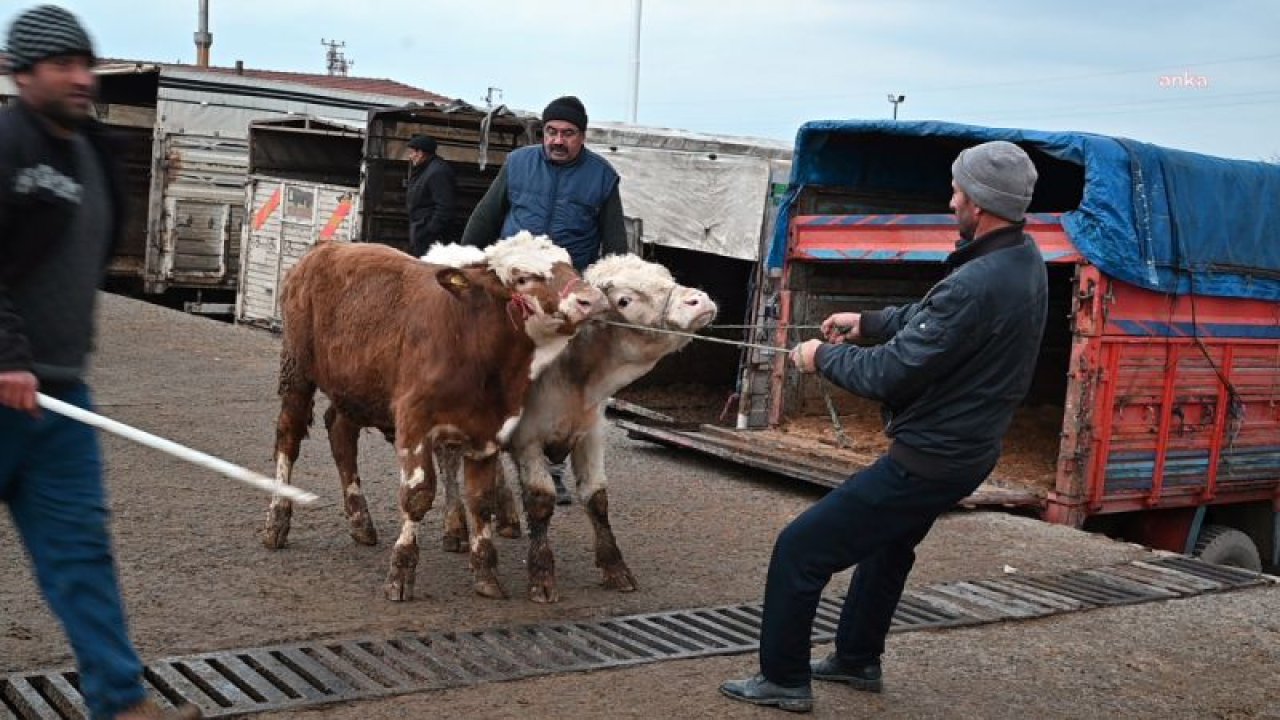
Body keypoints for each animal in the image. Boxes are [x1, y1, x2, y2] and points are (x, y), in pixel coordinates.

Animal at [262, 233, 606, 597]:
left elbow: (481, 500)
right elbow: (418, 495)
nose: (592, 299)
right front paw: (401, 571)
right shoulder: (414, 421)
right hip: (297, 369)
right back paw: (277, 520)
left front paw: (486, 573)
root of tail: (326, 247)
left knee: (341, 433)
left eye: (569, 263)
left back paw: (360, 521)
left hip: (355, 386)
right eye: (523, 277)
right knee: (288, 438)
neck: (475, 344)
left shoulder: (488, 430)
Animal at [440, 252, 721, 599]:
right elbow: (541, 499)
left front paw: (615, 568)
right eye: (624, 300)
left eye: (666, 277)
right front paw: (542, 574)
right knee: (448, 465)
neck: (573, 378)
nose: (699, 300)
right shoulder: (528, 439)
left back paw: (506, 518)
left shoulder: (592, 434)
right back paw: (455, 529)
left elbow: (597, 498)